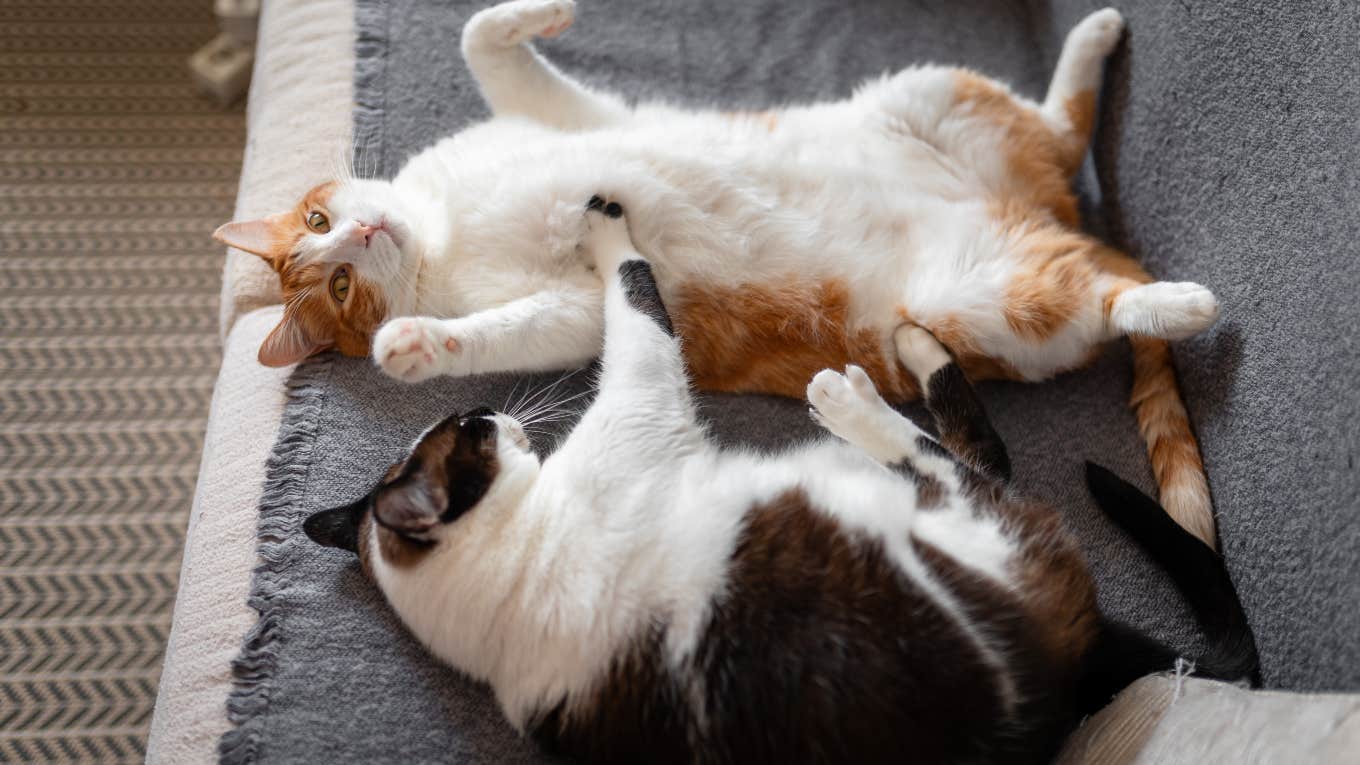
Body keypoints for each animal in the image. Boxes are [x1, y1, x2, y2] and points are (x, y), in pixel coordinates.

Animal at [214, 2, 1224, 544]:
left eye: (321, 227)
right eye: (339, 287)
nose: (362, 231)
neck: (441, 223)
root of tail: (1054, 218)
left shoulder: (567, 117)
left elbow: (481, 41)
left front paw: (543, 15)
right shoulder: (577, 306)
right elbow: (495, 331)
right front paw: (413, 343)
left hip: (929, 93)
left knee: (1060, 126)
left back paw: (1094, 35)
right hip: (989, 301)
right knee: (1104, 295)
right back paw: (1185, 299)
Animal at [306, 200, 1251, 756]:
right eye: (467, 432)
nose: (492, 414)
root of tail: (1082, 661)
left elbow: (634, 295)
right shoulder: (641, 392)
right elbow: (633, 289)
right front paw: (606, 225)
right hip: (972, 535)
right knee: (967, 462)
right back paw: (864, 385)